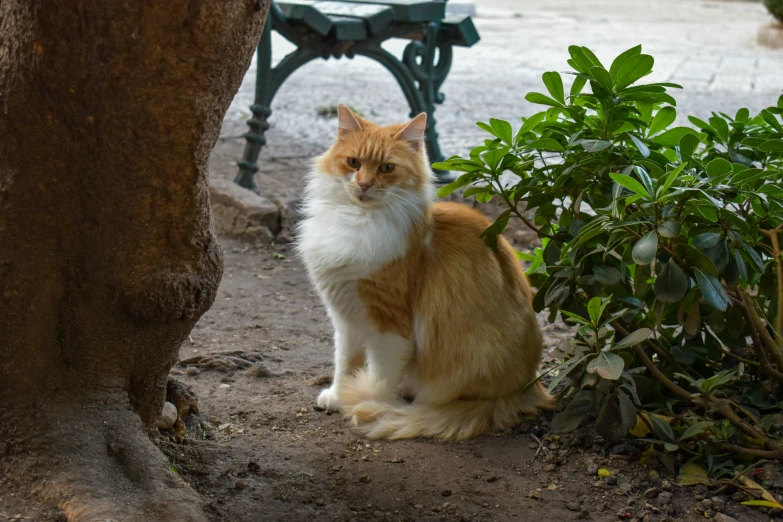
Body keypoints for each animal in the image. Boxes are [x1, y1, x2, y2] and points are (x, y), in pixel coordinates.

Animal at [298, 105, 556, 438]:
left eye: (386, 168)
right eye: (354, 162)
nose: (364, 184)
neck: (357, 220)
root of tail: (527, 387)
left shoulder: (388, 321)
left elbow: (381, 374)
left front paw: (371, 402)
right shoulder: (345, 316)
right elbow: (345, 363)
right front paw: (339, 395)